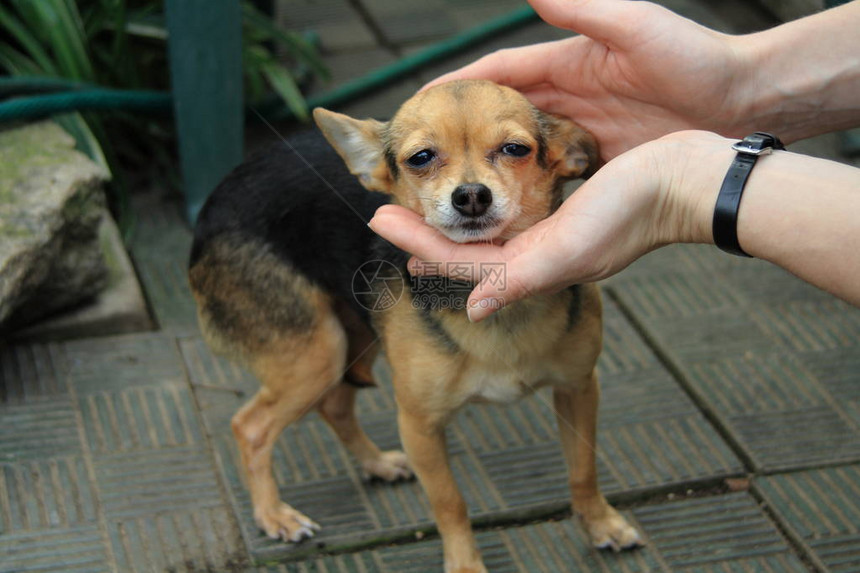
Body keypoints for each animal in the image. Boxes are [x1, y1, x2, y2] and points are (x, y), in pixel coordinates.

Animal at [191, 80, 640, 572]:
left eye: (515, 149)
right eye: (420, 157)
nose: (471, 195)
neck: (489, 298)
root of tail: (212, 205)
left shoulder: (578, 389)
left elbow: (583, 469)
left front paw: (600, 523)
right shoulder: (420, 425)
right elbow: (449, 503)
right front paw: (465, 566)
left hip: (354, 334)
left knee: (334, 405)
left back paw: (376, 465)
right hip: (317, 352)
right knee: (250, 427)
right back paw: (275, 515)